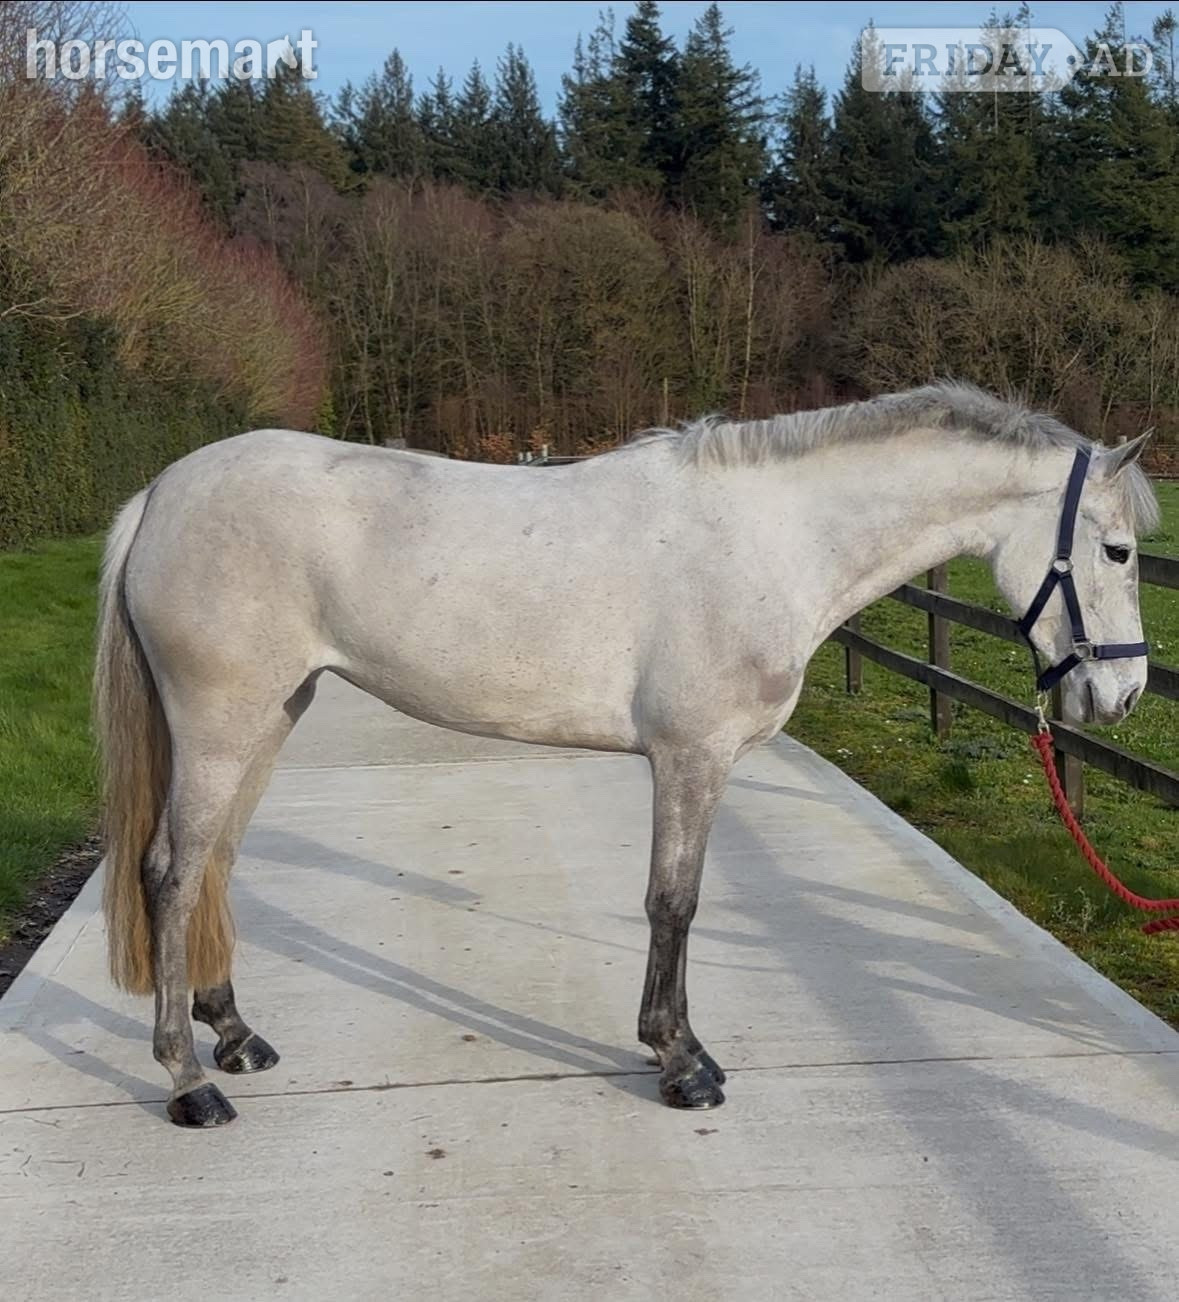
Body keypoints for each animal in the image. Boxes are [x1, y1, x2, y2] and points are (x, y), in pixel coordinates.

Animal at [94, 382, 1158, 1128]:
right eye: (1115, 551)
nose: (1121, 695)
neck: (772, 537)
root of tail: (158, 495)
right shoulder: (693, 758)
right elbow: (672, 902)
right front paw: (681, 1063)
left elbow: (673, 904)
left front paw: (674, 1051)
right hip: (223, 720)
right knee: (172, 872)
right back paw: (189, 1083)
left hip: (271, 716)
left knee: (216, 865)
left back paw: (235, 1038)